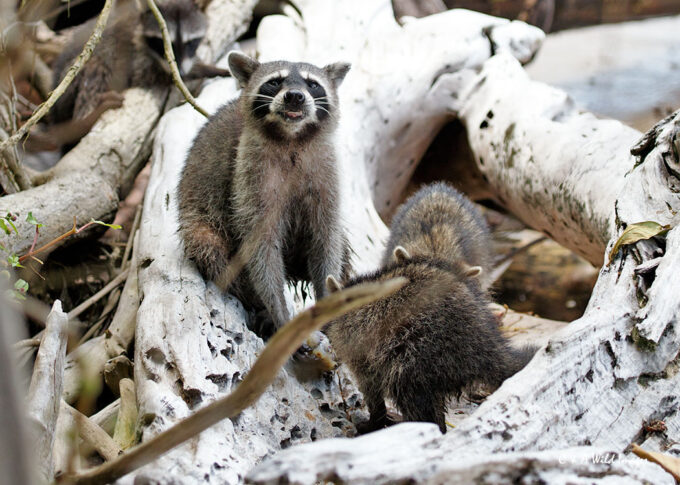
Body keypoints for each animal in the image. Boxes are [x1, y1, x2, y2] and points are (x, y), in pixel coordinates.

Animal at [177, 52, 351, 331]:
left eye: (312, 84)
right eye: (275, 82)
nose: (295, 96)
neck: (292, 139)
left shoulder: (325, 171)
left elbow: (327, 239)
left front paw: (327, 299)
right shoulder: (248, 175)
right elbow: (260, 247)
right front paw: (278, 311)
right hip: (200, 218)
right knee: (209, 246)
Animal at [324, 183, 535, 433]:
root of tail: (488, 345)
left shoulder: (358, 349)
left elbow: (370, 387)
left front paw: (375, 417)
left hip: (420, 350)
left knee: (409, 392)